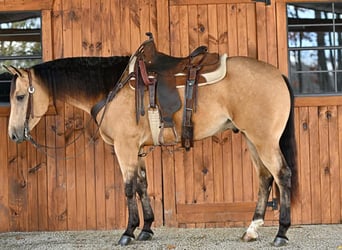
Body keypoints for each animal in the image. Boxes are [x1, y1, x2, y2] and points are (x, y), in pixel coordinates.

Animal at [6, 34, 298, 247]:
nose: (13, 134)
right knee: (264, 178)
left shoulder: (124, 148)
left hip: (263, 140)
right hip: (251, 138)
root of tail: (278, 74)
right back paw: (251, 230)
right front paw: (146, 228)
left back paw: (281, 233)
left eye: (20, 97)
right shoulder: (137, 150)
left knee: (282, 175)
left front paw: (128, 232)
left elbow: (127, 187)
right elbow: (142, 186)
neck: (111, 88)